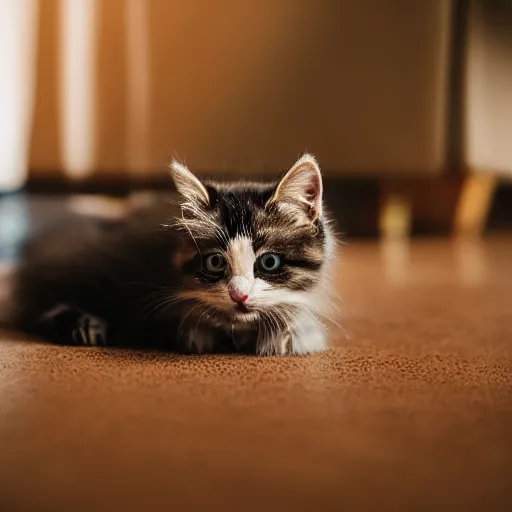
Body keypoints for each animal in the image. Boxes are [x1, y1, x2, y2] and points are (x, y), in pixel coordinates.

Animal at [7, 155, 340, 356]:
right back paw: (83, 325)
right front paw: (196, 332)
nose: (239, 296)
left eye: (269, 262)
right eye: (215, 262)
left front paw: (286, 332)